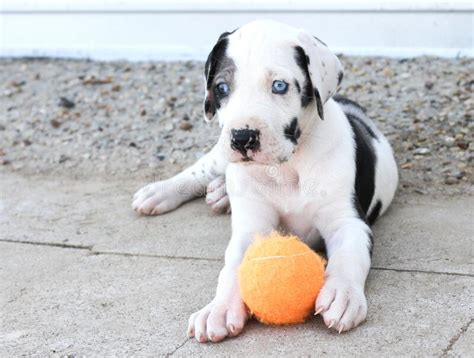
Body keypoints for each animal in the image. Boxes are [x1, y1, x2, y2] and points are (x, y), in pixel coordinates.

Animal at [131, 20, 398, 344]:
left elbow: (348, 257)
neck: (286, 168)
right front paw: (218, 308)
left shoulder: (348, 222)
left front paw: (342, 294)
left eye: (279, 86)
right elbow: (232, 266)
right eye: (221, 88)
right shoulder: (250, 227)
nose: (242, 137)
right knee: (199, 171)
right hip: (220, 155)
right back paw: (160, 192)